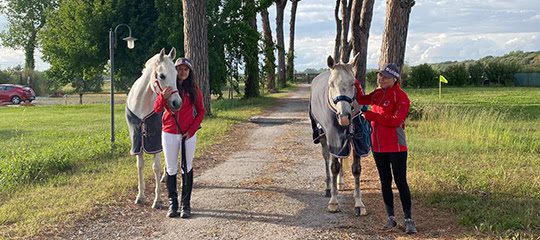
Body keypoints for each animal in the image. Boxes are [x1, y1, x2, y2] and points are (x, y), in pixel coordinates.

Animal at [125, 47, 181, 208]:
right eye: (162, 75)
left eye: (176, 75)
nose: (177, 103)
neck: (142, 104)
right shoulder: (137, 139)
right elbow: (140, 165)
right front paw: (140, 196)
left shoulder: (155, 139)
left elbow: (155, 167)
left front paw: (158, 200)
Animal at [308, 54, 368, 216]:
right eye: (331, 84)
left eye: (353, 83)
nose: (344, 117)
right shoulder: (334, 139)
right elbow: (334, 166)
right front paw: (334, 202)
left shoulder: (357, 139)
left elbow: (356, 169)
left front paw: (359, 203)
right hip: (323, 137)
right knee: (327, 159)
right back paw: (329, 188)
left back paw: (340, 182)